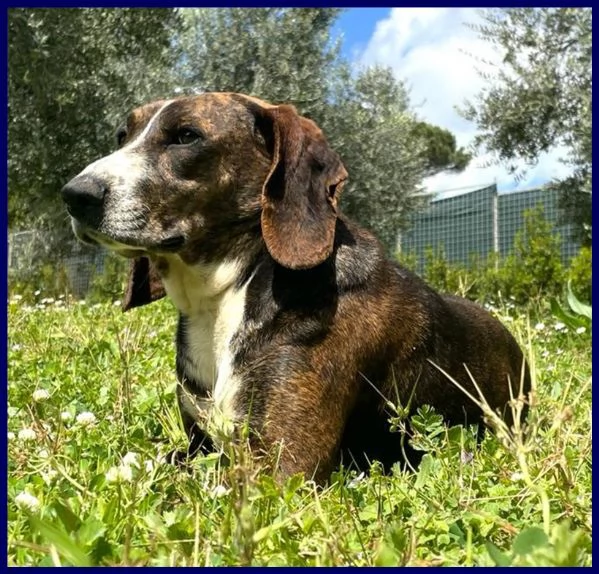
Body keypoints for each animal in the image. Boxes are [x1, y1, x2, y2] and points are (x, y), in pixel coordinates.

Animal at [59, 92, 528, 484]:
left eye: (186, 136)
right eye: (123, 136)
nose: (73, 194)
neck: (226, 295)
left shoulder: (283, 464)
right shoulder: (198, 445)